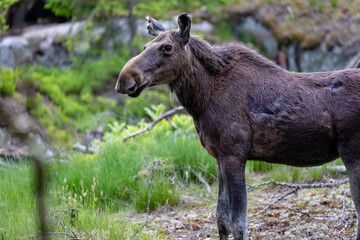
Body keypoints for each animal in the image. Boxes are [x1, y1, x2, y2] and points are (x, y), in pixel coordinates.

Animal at [115, 13, 360, 240]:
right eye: (145, 46)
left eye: (167, 47)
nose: (124, 80)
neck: (201, 99)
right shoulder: (219, 157)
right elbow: (221, 219)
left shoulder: (234, 155)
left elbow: (238, 223)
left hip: (352, 152)